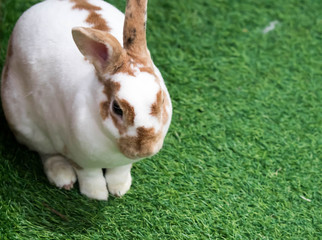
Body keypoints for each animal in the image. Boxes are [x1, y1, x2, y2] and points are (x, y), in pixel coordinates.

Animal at [1, 0, 172, 200]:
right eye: (117, 108)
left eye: (162, 101)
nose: (145, 149)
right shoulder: (79, 157)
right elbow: (90, 175)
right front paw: (97, 195)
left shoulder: (123, 163)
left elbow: (120, 171)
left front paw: (120, 189)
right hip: (27, 127)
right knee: (47, 153)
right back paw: (62, 177)